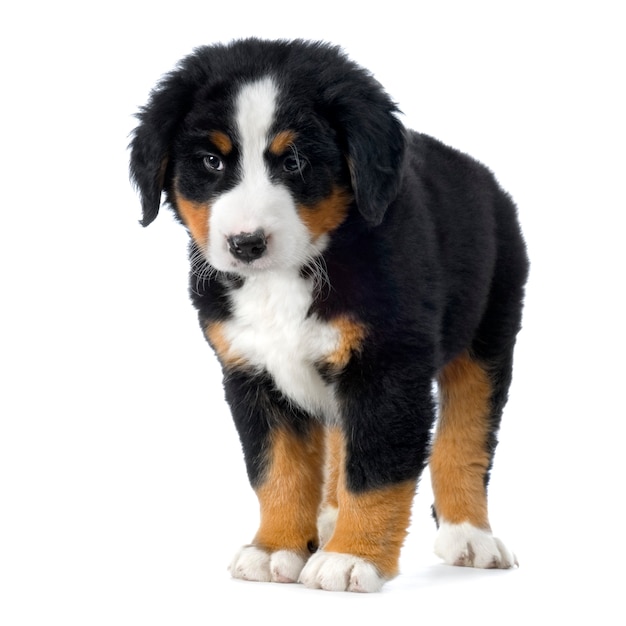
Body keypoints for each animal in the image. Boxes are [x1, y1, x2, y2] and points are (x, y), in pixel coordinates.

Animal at [130, 37, 528, 588]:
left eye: (294, 162)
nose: (246, 244)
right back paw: (329, 518)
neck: (287, 278)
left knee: (466, 437)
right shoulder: (252, 372)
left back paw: (469, 536)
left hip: (487, 334)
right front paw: (275, 547)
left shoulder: (387, 367)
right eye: (211, 161)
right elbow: (278, 469)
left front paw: (352, 556)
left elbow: (376, 470)